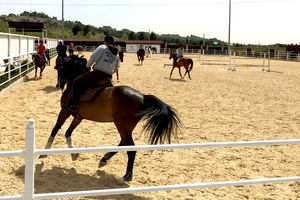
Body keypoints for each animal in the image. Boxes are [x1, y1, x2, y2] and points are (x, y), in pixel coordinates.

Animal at [39, 55, 180, 183]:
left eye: (61, 67)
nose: (59, 84)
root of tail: (143, 97)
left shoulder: (65, 111)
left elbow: (55, 129)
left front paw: (44, 152)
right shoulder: (79, 117)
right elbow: (68, 132)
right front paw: (73, 153)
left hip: (122, 126)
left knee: (131, 149)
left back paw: (126, 176)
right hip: (125, 128)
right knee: (123, 143)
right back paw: (104, 159)